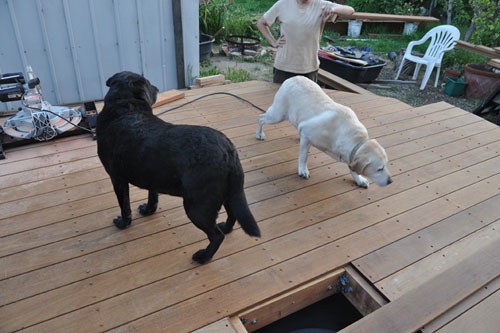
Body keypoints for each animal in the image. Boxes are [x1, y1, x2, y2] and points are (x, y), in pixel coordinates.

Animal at [96, 71, 262, 264]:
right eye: (150, 84)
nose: (157, 88)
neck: (126, 108)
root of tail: (228, 149)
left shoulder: (117, 179)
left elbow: (124, 206)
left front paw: (123, 223)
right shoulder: (152, 177)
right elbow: (152, 197)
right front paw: (148, 211)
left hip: (197, 207)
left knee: (216, 236)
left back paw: (204, 256)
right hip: (230, 193)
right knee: (232, 214)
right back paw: (226, 229)